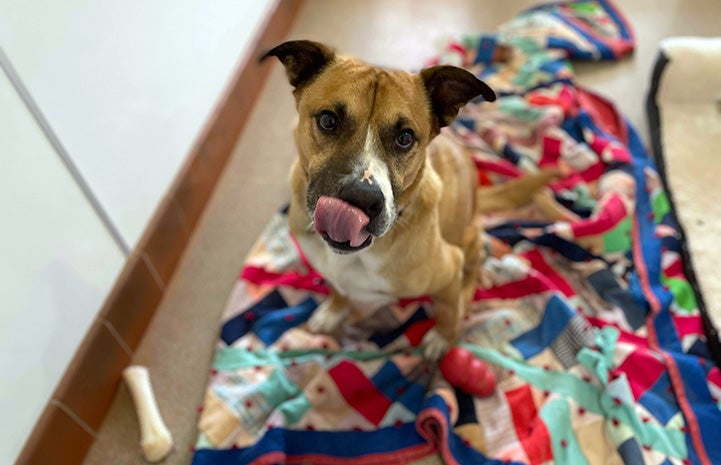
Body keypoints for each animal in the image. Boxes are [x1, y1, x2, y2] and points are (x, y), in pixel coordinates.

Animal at [262, 40, 552, 358]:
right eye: (328, 120)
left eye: (405, 137)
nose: (361, 198)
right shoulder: (330, 270)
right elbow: (338, 288)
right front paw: (333, 312)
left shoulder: (449, 267)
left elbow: (447, 310)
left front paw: (443, 338)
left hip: (468, 242)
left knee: (471, 275)